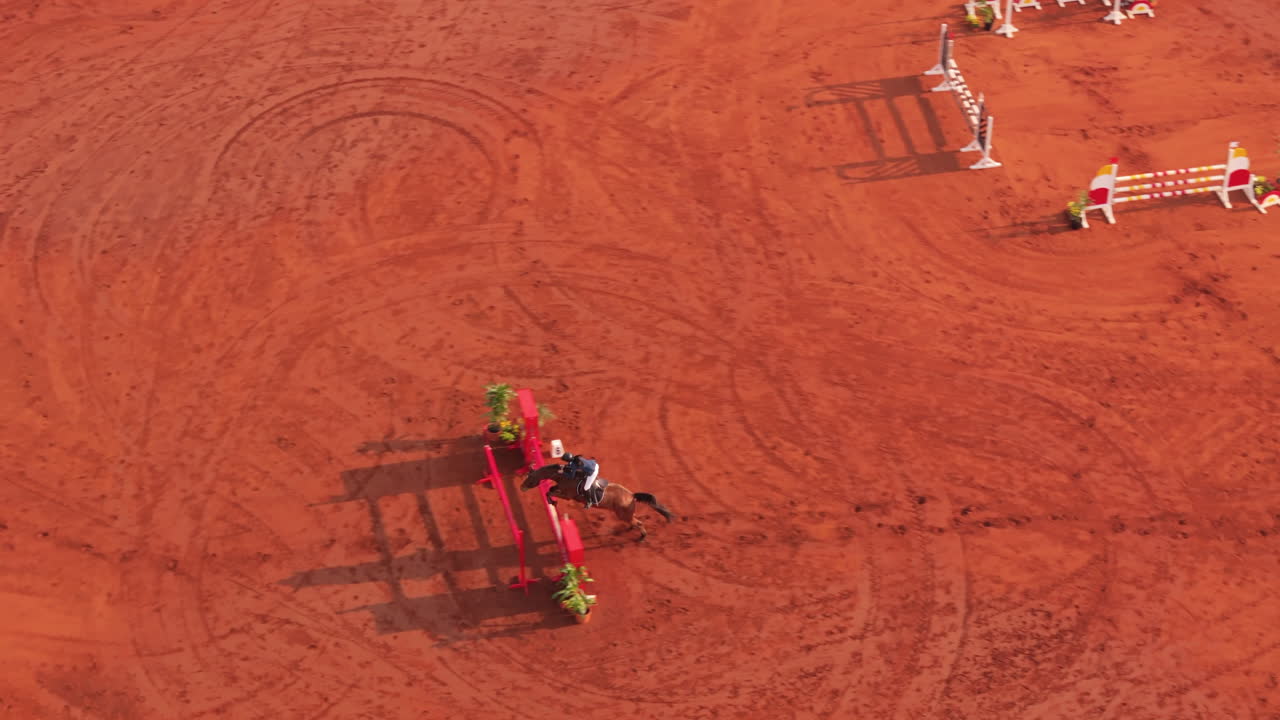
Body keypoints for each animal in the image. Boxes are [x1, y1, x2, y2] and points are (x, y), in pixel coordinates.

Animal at [520, 464, 675, 541]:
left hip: (623, 514)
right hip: (626, 514)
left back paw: (642, 537)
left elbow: (550, 492)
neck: (565, 476)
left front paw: (552, 502)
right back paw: (632, 529)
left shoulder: (567, 495)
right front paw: (552, 502)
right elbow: (550, 490)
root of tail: (631, 495)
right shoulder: (561, 488)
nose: (522, 487)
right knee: (634, 521)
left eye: (530, 478)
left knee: (639, 523)